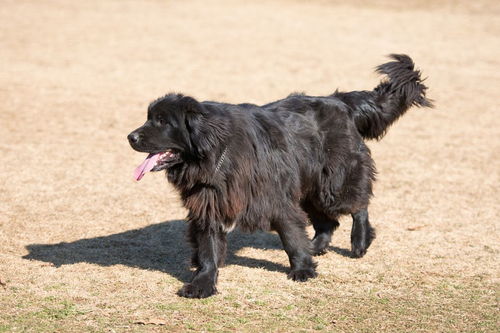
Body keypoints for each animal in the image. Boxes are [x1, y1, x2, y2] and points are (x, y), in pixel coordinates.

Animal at [127, 53, 432, 296]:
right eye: (148, 117)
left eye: (163, 122)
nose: (130, 137)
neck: (214, 151)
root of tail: (339, 100)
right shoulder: (209, 204)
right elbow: (208, 248)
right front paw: (202, 283)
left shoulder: (276, 197)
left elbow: (290, 236)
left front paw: (302, 270)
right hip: (310, 188)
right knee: (327, 222)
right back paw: (317, 246)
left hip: (333, 181)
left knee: (358, 205)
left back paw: (359, 242)